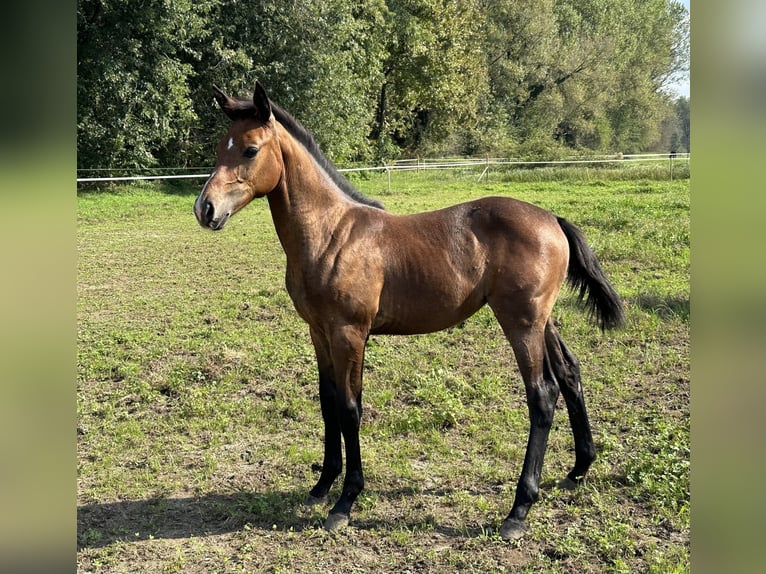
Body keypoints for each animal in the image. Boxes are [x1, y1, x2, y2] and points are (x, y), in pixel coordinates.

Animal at [195, 82, 628, 544]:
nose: (205, 209)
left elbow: (350, 408)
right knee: (569, 372)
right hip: (542, 319)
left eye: (250, 150)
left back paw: (518, 509)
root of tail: (552, 219)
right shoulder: (319, 332)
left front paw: (345, 502)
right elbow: (328, 403)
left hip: (521, 322)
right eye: (219, 148)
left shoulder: (350, 332)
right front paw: (320, 487)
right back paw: (578, 470)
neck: (331, 233)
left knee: (542, 394)